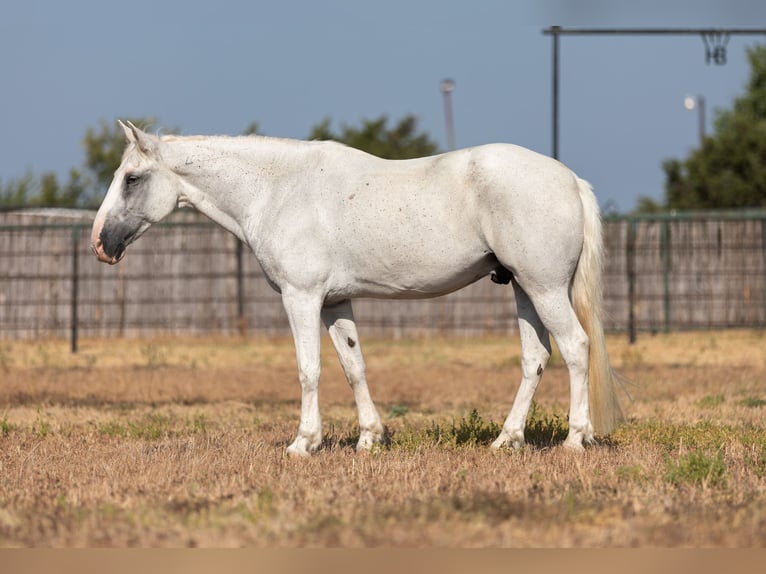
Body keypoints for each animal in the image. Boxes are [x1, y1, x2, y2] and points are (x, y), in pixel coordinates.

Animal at [93, 121, 628, 460]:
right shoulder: (335, 302)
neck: (278, 190)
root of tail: (569, 179)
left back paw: (575, 439)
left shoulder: (301, 298)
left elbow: (309, 370)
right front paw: (369, 438)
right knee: (535, 358)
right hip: (524, 290)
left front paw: (304, 443)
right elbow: (354, 366)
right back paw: (506, 440)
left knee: (576, 348)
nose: (100, 243)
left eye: (132, 178)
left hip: (545, 289)